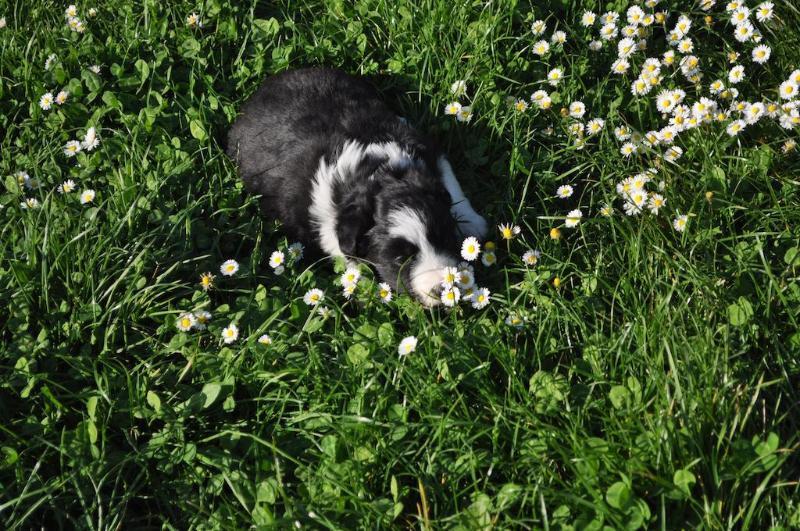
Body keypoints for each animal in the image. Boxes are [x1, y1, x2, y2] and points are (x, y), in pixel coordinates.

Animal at [225, 68, 488, 306]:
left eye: (443, 236)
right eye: (400, 259)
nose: (444, 289)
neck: (376, 173)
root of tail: (261, 91)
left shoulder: (427, 150)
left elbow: (452, 185)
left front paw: (474, 223)